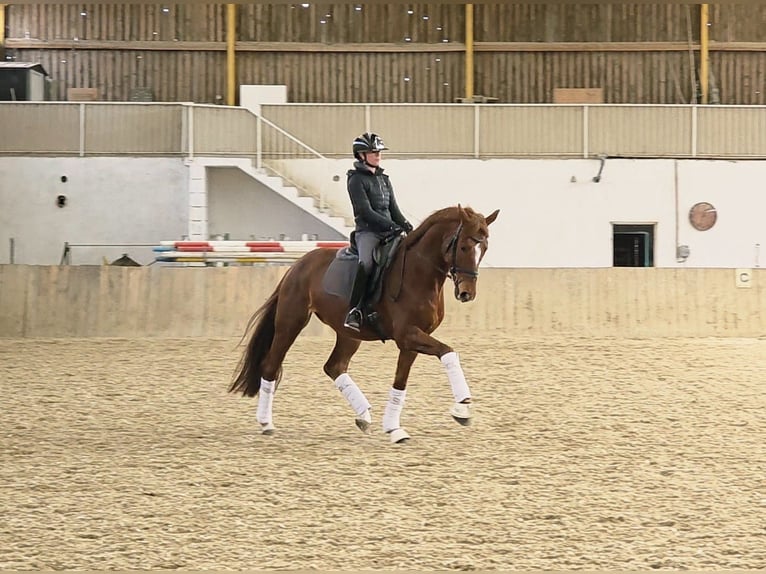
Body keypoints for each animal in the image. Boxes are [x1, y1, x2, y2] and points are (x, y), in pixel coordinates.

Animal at [228, 207, 504, 446]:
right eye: (464, 246)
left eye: (484, 248)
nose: (467, 293)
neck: (420, 274)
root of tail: (297, 265)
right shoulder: (408, 335)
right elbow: (448, 352)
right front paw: (462, 407)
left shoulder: (412, 340)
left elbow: (400, 382)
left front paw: (394, 428)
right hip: (291, 322)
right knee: (271, 365)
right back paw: (266, 423)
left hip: (349, 333)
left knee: (334, 366)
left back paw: (364, 415)